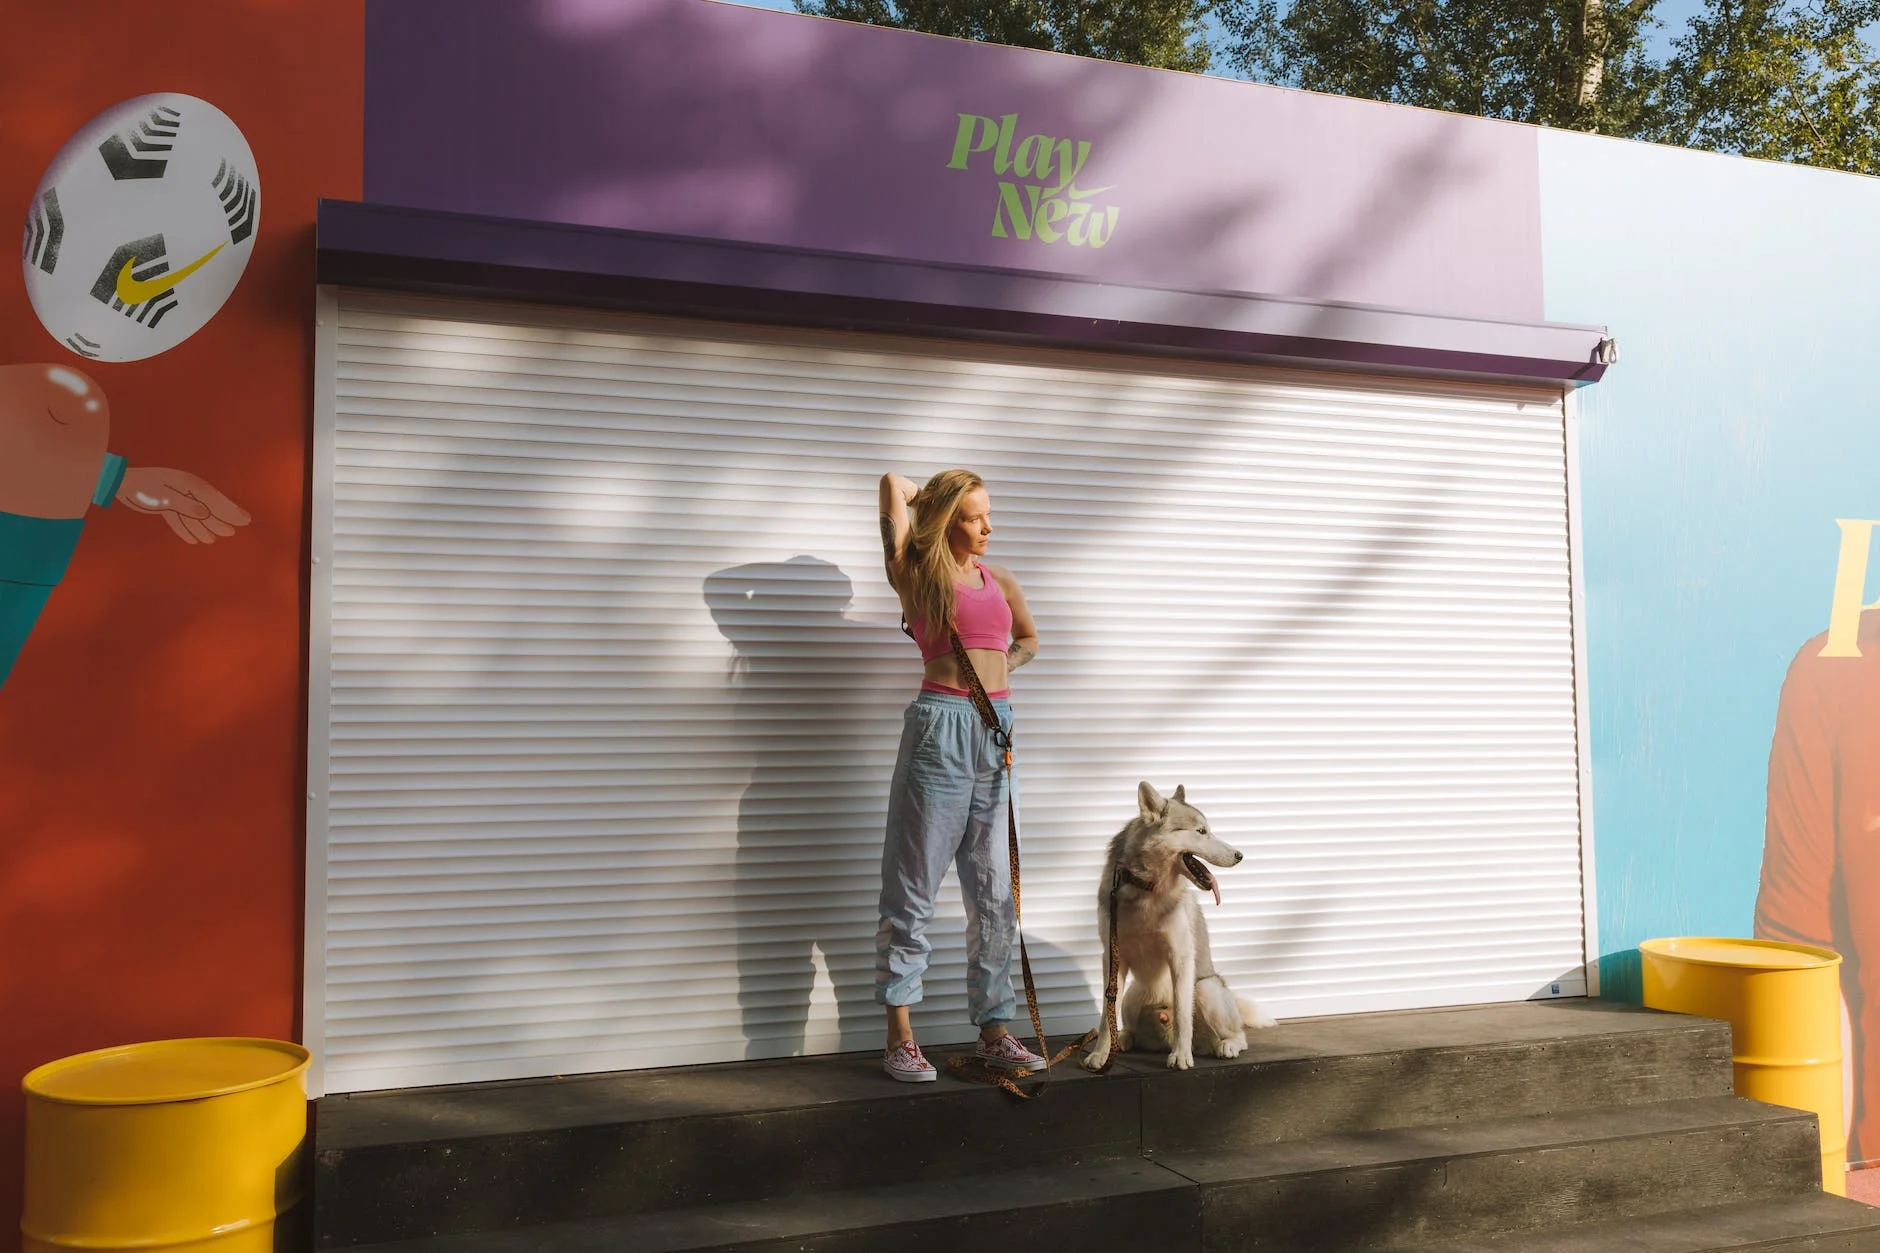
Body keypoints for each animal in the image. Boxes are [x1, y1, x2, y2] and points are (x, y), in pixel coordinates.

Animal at [1082, 782, 1270, 1061]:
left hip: (1207, 990)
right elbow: (1107, 1013)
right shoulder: (1113, 957)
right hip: (1133, 995)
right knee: (1130, 1026)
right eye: (1201, 831)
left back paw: (1225, 1045)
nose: (1239, 855)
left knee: (1237, 1034)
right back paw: (1125, 1039)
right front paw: (1100, 1055)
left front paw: (1181, 1056)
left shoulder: (1180, 955)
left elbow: (1182, 1014)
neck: (1147, 889)